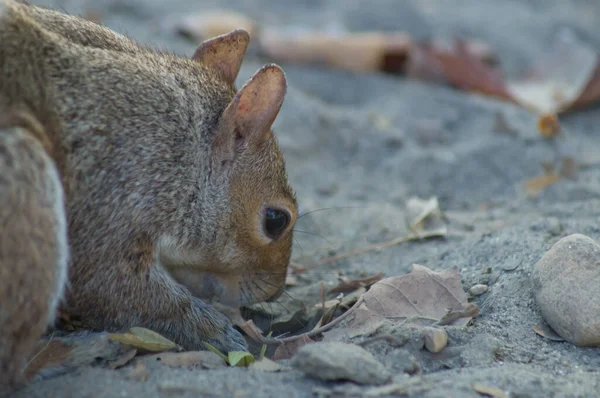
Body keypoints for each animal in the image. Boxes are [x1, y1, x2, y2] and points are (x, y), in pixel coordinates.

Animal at [0, 0, 298, 392]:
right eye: (276, 220)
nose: (275, 292)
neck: (181, 149)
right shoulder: (114, 191)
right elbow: (113, 287)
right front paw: (218, 332)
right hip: (26, 191)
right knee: (11, 369)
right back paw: (72, 352)